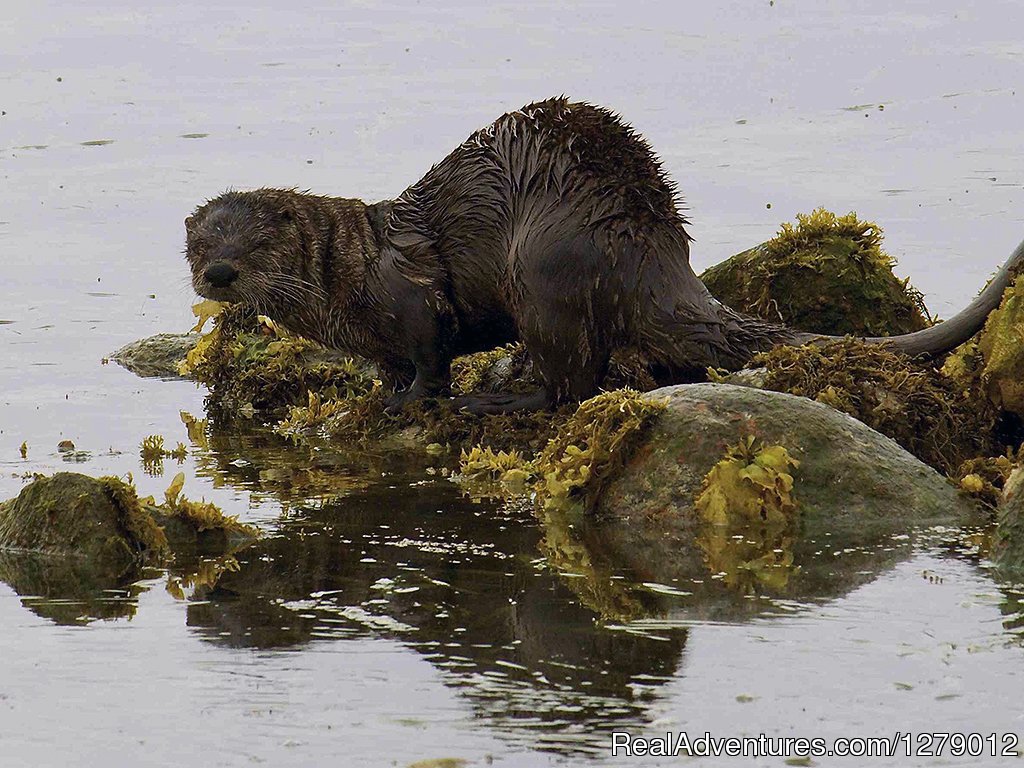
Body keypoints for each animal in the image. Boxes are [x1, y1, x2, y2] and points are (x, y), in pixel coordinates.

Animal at [182, 99, 1024, 417]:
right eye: (198, 245)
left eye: (254, 243)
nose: (218, 274)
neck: (351, 273)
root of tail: (654, 255)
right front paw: (379, 390)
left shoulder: (412, 293)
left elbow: (427, 353)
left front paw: (410, 400)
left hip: (544, 269)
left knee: (574, 381)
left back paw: (504, 398)